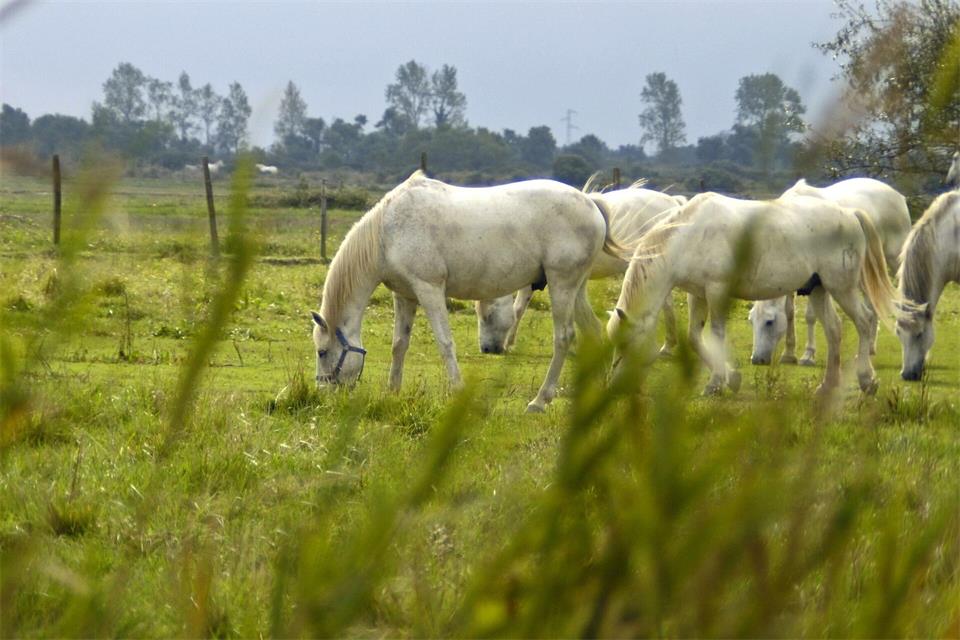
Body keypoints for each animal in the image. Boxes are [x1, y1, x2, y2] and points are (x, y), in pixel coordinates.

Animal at [311, 170, 627, 413]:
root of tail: (591, 203)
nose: (325, 393)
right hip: (576, 288)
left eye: (322, 352)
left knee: (564, 338)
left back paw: (539, 401)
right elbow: (399, 344)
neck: (387, 232)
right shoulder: (405, 296)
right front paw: (393, 392)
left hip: (562, 284)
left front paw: (458, 391)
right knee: (594, 331)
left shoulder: (429, 289)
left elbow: (445, 343)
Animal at [477, 182, 684, 355]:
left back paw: (667, 346)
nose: (487, 349)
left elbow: (518, 309)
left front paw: (508, 343)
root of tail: (672, 202)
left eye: (487, 315)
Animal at [608, 192, 898, 396]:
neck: (689, 234)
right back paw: (827, 386)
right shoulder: (697, 294)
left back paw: (867, 381)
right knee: (834, 330)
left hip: (842, 288)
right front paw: (731, 378)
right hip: (819, 289)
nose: (615, 385)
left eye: (628, 343)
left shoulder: (717, 291)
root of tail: (850, 214)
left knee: (864, 322)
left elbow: (716, 334)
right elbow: (694, 338)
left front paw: (716, 384)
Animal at [748, 178, 912, 365]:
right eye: (752, 321)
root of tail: (897, 195)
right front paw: (789, 353)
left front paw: (808, 354)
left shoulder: (813, 282)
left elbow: (810, 316)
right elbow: (789, 313)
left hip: (893, 260)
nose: (756, 359)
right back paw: (869, 349)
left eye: (769, 321)